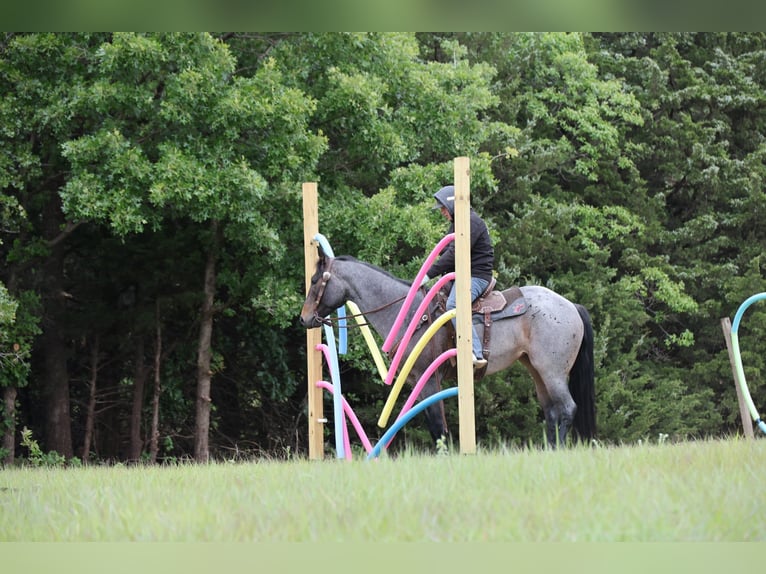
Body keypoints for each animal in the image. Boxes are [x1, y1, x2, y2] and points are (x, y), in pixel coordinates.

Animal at [299, 251, 596, 450]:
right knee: (552, 412)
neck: (410, 314)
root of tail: (571, 306)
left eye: (315, 281)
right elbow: (436, 422)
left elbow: (437, 425)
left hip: (552, 371)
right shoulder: (421, 383)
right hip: (535, 370)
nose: (304, 318)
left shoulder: (429, 379)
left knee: (567, 408)